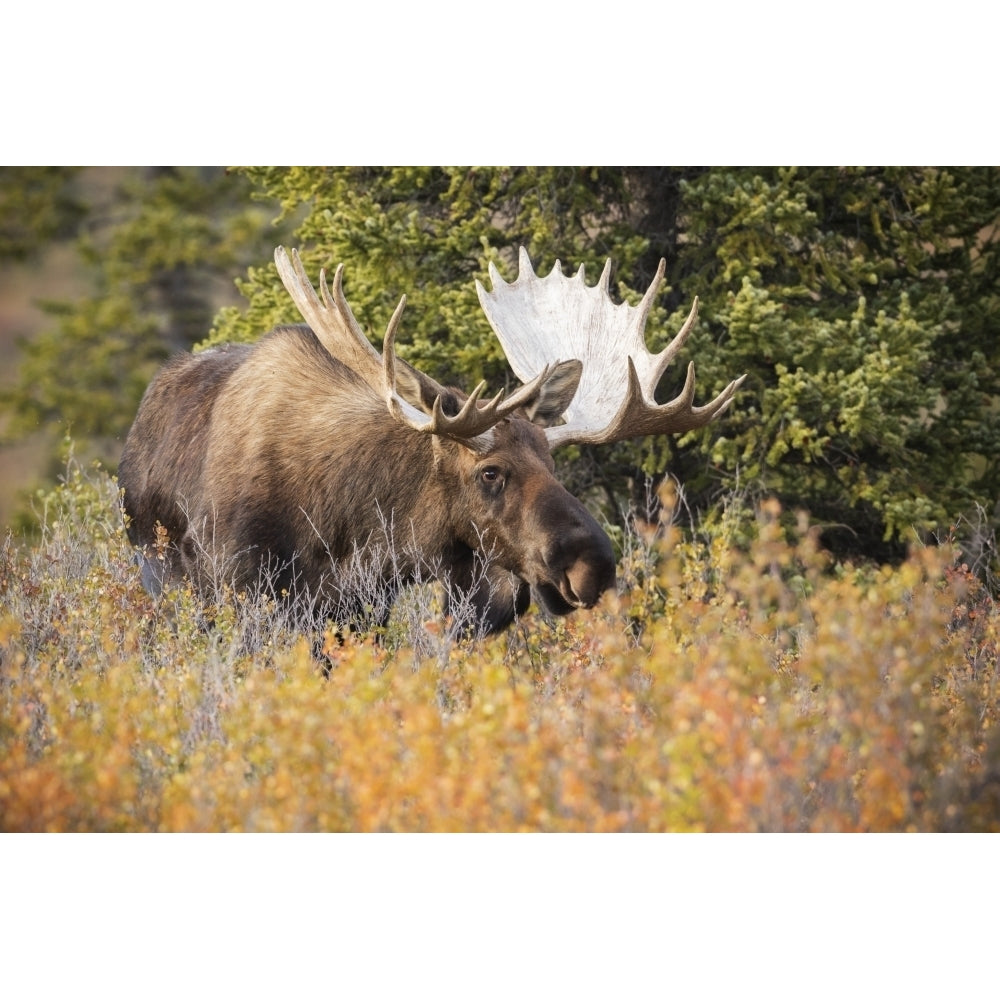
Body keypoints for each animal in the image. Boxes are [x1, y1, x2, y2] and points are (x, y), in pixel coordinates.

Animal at [119, 249, 744, 636]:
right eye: (489, 471)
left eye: (552, 463)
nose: (593, 564)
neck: (349, 531)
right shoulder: (246, 593)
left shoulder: (363, 612)